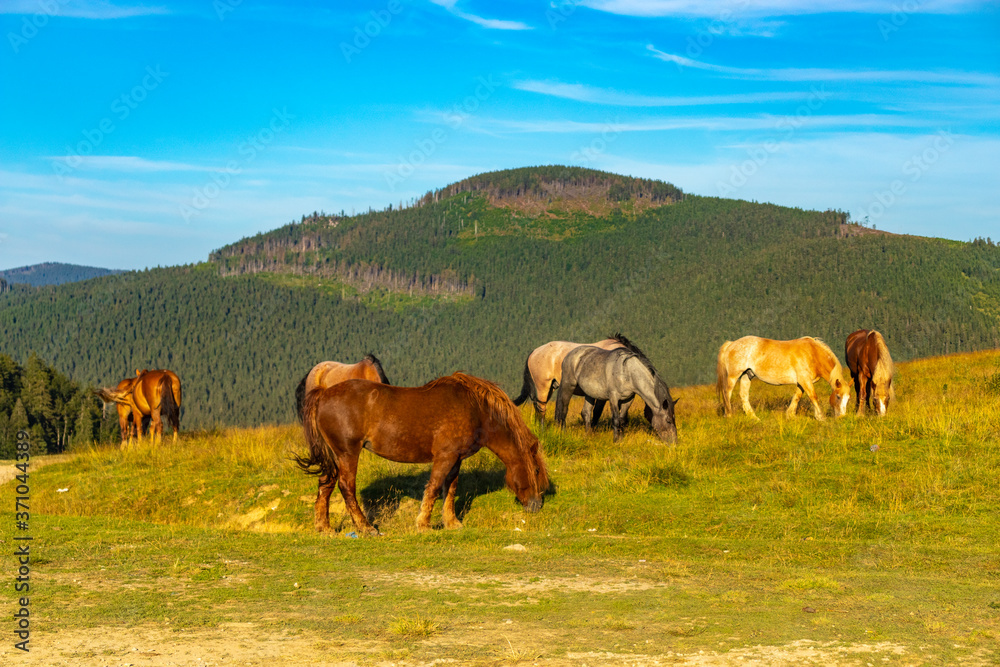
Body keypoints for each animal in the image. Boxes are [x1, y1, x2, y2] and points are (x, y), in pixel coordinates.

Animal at [292, 374, 552, 536]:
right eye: (536, 469)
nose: (537, 505)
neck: (476, 409)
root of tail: (324, 394)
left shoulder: (456, 459)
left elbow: (450, 489)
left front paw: (451, 522)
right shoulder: (445, 457)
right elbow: (435, 487)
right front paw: (424, 525)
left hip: (335, 457)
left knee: (325, 484)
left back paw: (324, 527)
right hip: (347, 453)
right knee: (346, 487)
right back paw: (366, 528)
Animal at [716, 336, 848, 420]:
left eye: (848, 398)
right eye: (838, 396)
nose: (842, 417)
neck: (812, 353)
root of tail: (731, 344)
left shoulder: (802, 382)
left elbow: (797, 397)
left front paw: (790, 415)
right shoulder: (805, 380)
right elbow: (813, 396)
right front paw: (820, 417)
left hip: (746, 375)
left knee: (743, 395)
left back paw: (753, 417)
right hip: (733, 375)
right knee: (727, 393)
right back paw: (729, 415)